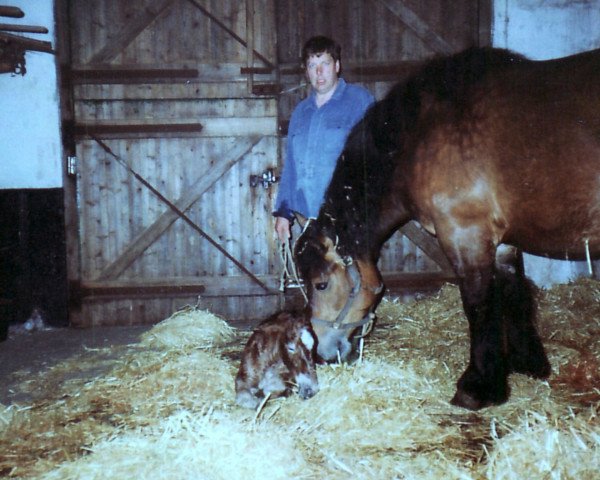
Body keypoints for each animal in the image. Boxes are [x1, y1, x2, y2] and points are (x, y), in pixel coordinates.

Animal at [294, 47, 600, 408]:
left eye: (321, 284)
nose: (321, 352)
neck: (420, 135)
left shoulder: (465, 235)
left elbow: (478, 305)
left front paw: (477, 387)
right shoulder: (502, 243)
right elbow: (513, 292)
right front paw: (526, 363)